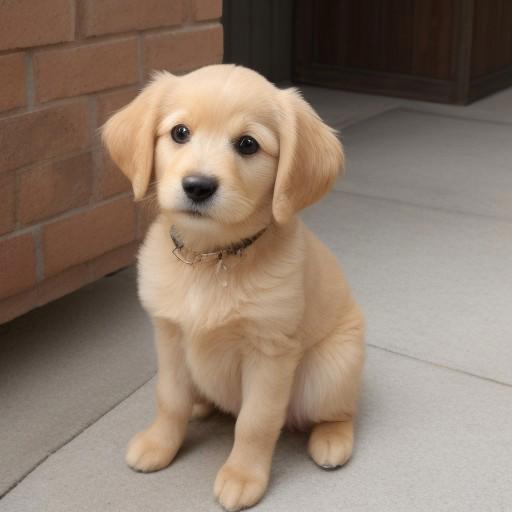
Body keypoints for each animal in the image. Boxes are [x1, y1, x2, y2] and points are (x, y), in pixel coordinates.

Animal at [102, 65, 364, 512]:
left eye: (247, 144)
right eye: (180, 133)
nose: (197, 186)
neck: (211, 258)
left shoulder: (270, 352)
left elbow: (255, 422)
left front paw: (243, 476)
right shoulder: (168, 336)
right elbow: (169, 398)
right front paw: (159, 444)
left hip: (332, 368)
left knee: (342, 410)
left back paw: (332, 440)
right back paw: (201, 405)